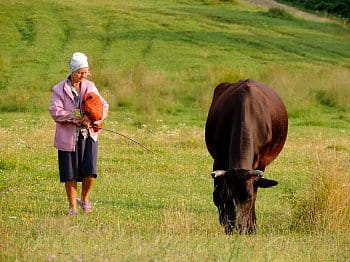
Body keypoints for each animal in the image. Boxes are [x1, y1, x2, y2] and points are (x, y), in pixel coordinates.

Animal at [204, 79, 288, 234]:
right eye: (227, 196)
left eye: (248, 197)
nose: (237, 227)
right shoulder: (219, 159)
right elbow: (216, 196)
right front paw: (225, 224)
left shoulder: (261, 162)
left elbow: (255, 193)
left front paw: (251, 228)